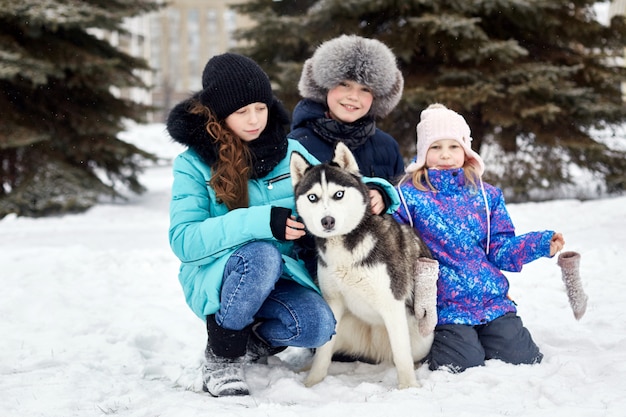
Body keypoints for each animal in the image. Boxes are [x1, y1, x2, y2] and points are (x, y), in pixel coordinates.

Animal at [290, 143, 436, 390]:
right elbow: (323, 352)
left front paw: (408, 388)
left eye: (338, 194)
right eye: (312, 197)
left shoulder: (392, 304)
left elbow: (402, 355)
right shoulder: (333, 303)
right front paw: (312, 383)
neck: (345, 247)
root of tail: (373, 350)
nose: (327, 221)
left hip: (420, 336)